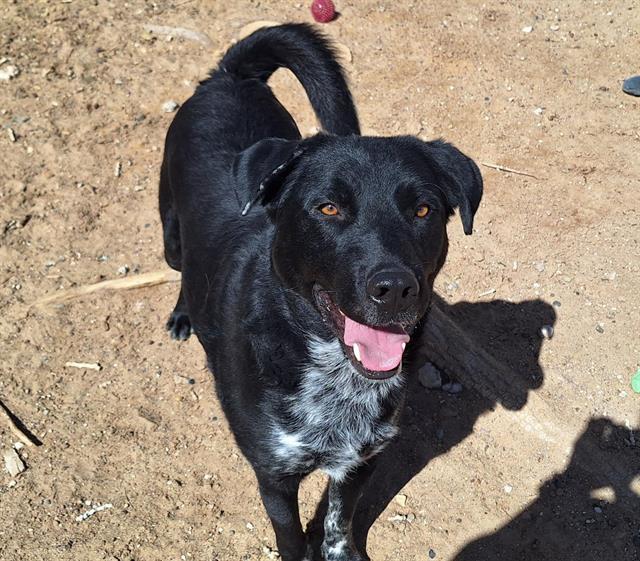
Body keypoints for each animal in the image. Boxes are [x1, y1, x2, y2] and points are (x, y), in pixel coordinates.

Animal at [159, 23, 480, 560]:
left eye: (423, 210)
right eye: (328, 208)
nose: (395, 288)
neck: (333, 372)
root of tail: (229, 76)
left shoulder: (360, 459)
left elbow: (338, 519)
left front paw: (341, 550)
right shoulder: (274, 474)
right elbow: (291, 536)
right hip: (171, 233)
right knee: (181, 270)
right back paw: (185, 316)